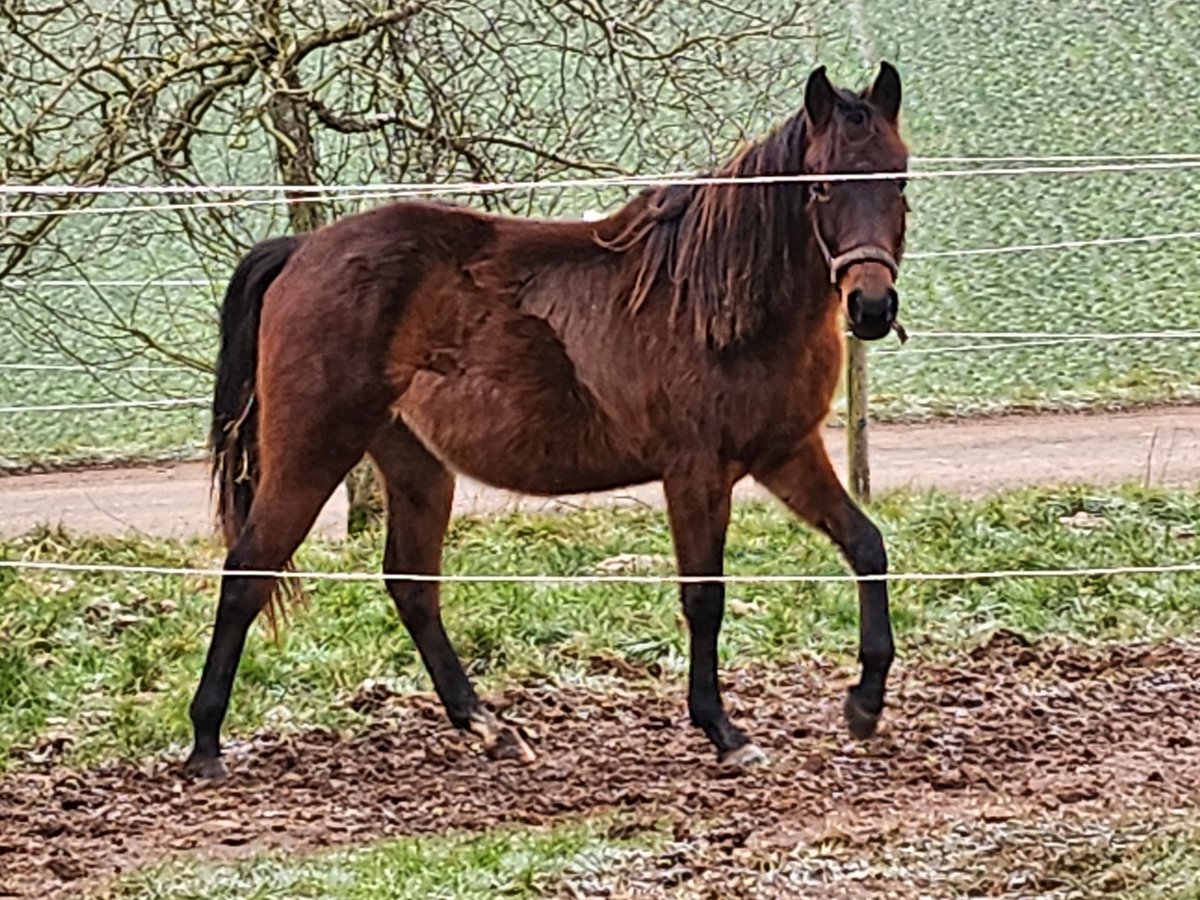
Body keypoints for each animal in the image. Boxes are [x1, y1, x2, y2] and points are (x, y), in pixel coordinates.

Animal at [184, 65, 907, 782]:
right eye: (819, 185)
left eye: (898, 177)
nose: (871, 306)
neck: (715, 303)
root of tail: (303, 248)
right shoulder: (696, 473)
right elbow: (705, 598)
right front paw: (724, 730)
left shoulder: (786, 454)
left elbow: (867, 545)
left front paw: (865, 702)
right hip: (313, 452)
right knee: (248, 571)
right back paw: (205, 745)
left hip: (415, 463)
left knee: (411, 586)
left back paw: (490, 728)